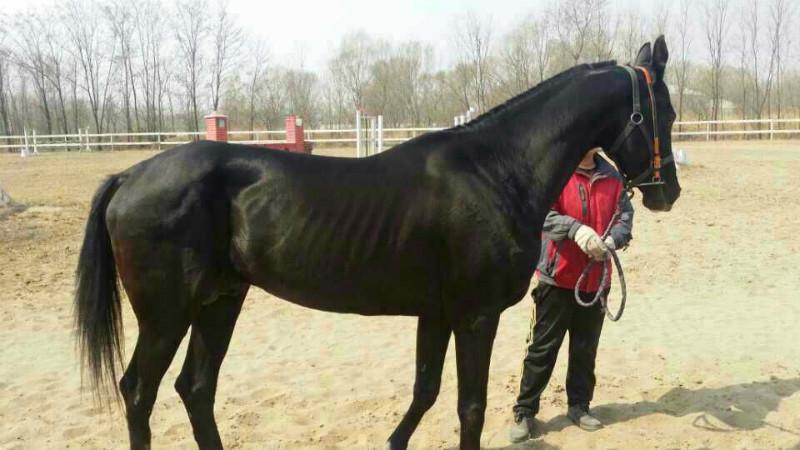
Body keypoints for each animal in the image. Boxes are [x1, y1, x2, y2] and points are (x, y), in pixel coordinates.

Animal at [72, 37, 680, 448]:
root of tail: (129, 176)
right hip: (167, 314)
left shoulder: (437, 313)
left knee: (195, 388)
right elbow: (471, 407)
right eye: (665, 112)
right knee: (140, 392)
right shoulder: (476, 316)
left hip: (220, 301)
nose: (667, 192)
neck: (495, 171)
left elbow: (425, 390)